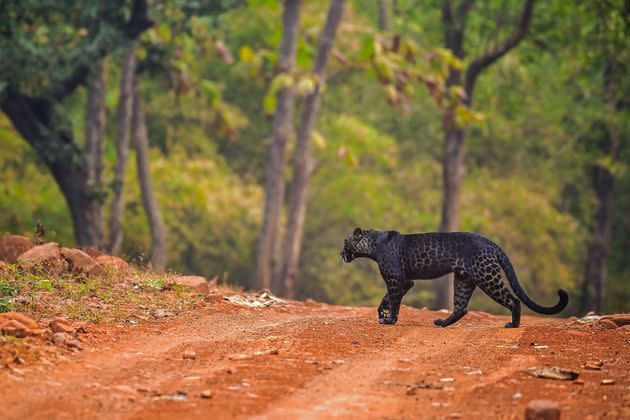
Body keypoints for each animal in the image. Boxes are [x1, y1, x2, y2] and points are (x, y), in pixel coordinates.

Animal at [344, 228, 572, 326]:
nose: (341, 253)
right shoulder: (406, 281)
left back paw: (513, 325)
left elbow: (394, 301)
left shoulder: (396, 279)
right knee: (461, 307)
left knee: (513, 300)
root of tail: (491, 243)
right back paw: (442, 323)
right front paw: (381, 312)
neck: (373, 244)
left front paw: (389, 320)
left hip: (486, 276)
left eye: (345, 243)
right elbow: (387, 298)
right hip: (464, 279)